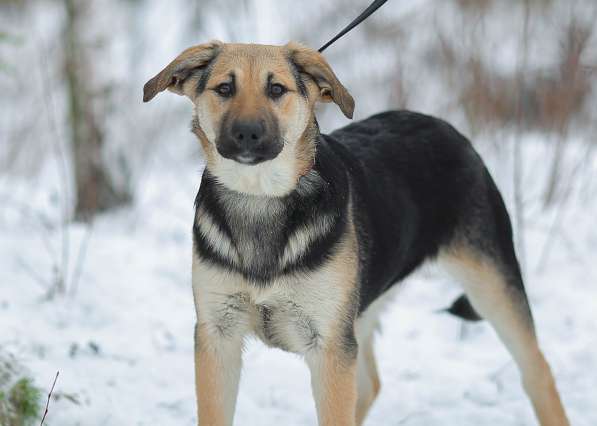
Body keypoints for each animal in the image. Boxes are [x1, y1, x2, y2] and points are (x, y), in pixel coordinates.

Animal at [143, 40, 568, 426]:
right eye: (224, 89)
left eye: (276, 89)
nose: (247, 134)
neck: (261, 197)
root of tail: (444, 125)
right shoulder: (218, 335)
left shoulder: (329, 346)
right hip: (362, 305)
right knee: (370, 385)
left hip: (491, 284)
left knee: (538, 371)